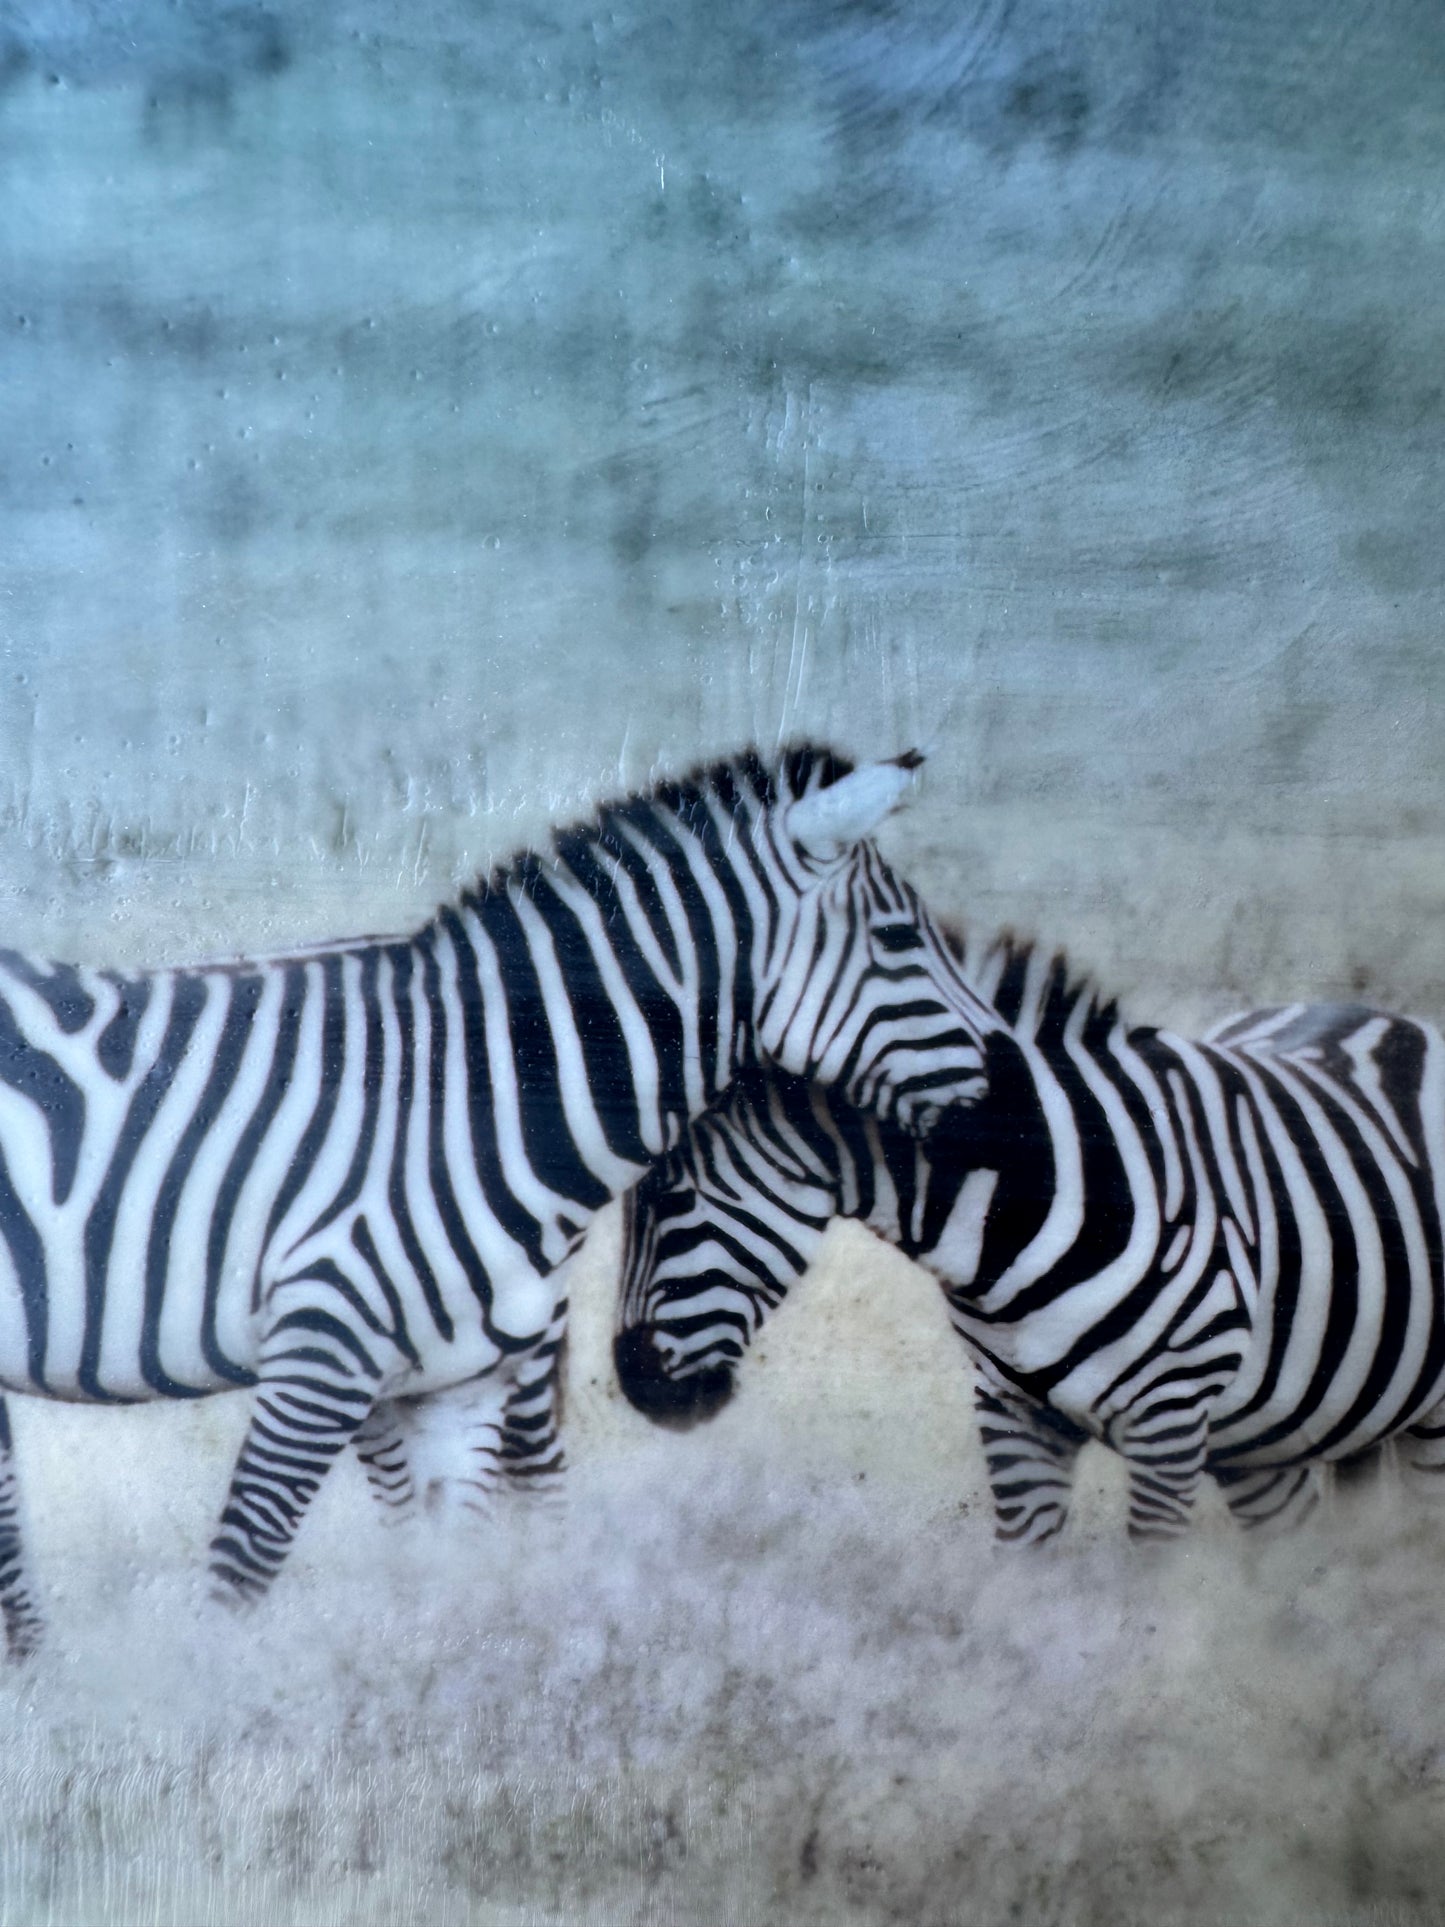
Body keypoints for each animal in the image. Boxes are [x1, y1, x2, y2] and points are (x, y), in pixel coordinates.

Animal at [0, 744, 1004, 1655]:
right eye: (900, 941)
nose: (1008, 1104)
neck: (473, 1106)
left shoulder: (457, 1384)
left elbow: (446, 1578)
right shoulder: (321, 1349)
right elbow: (239, 1578)